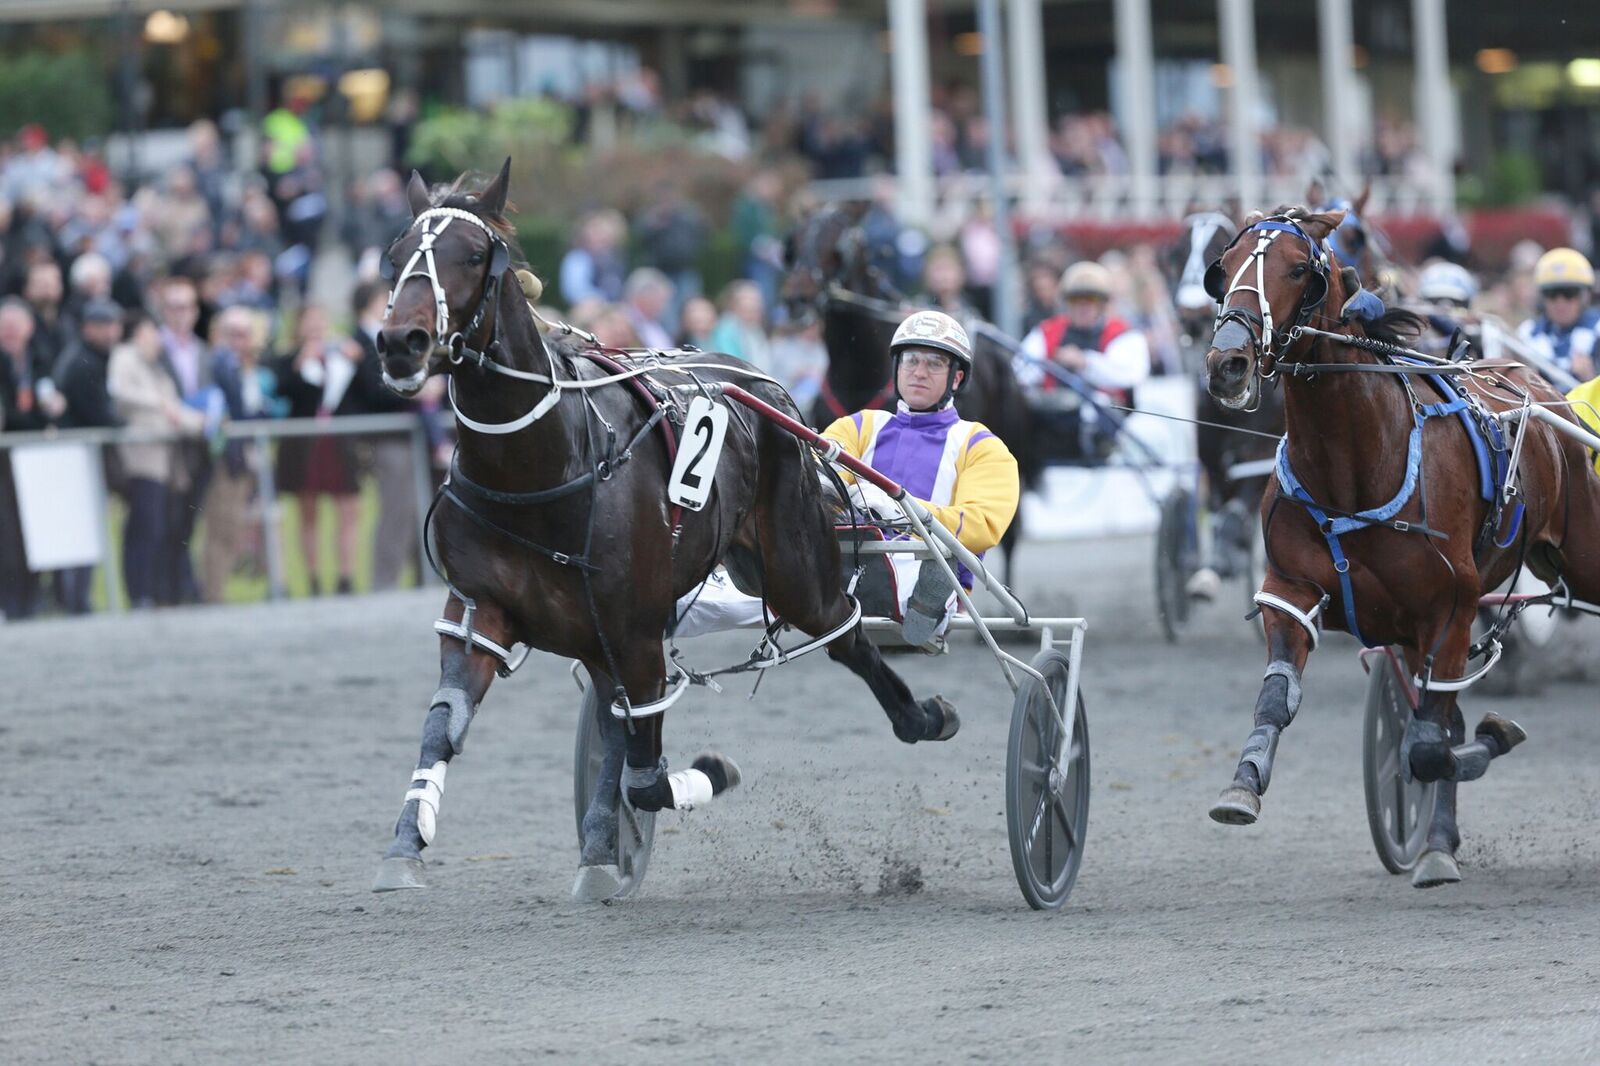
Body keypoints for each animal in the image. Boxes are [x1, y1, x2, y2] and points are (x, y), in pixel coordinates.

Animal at [1203, 203, 1600, 883]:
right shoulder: (1291, 590)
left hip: (1582, 550)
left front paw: (1496, 733)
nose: (1228, 361)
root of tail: (1545, 393)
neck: (1353, 466)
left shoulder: (1451, 609)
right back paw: (1439, 840)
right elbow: (1279, 698)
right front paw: (1243, 784)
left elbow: (1427, 747)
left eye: (1296, 269)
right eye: (1222, 268)